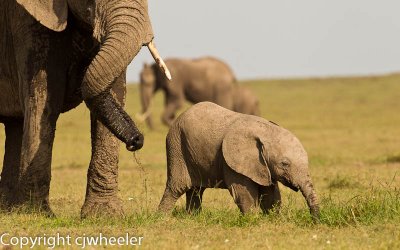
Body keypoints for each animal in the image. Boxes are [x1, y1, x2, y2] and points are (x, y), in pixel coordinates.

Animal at [0, 0, 169, 217]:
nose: (136, 140)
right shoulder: (26, 18)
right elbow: (43, 95)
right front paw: (35, 214)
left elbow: (113, 89)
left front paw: (105, 214)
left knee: (14, 125)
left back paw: (8, 209)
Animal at [159, 101, 318, 221]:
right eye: (284, 164)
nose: (316, 220)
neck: (266, 131)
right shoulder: (232, 162)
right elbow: (243, 193)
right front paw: (253, 221)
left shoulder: (263, 167)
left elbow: (270, 195)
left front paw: (274, 220)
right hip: (176, 147)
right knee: (176, 187)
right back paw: (161, 219)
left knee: (196, 190)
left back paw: (193, 218)